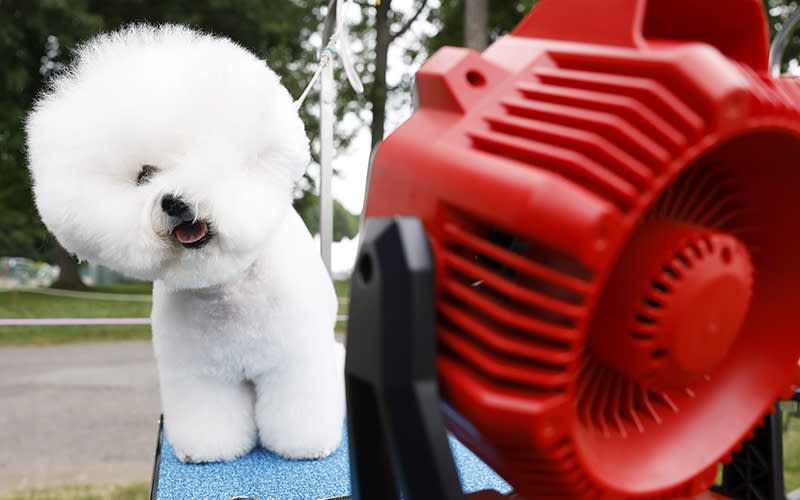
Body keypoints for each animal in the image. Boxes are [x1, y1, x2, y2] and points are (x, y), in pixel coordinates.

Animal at [24, 23, 344, 460]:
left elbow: (300, 406)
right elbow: (207, 413)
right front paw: (207, 449)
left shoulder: (295, 362)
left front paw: (307, 445)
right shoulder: (199, 374)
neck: (225, 292)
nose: (174, 202)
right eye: (144, 175)